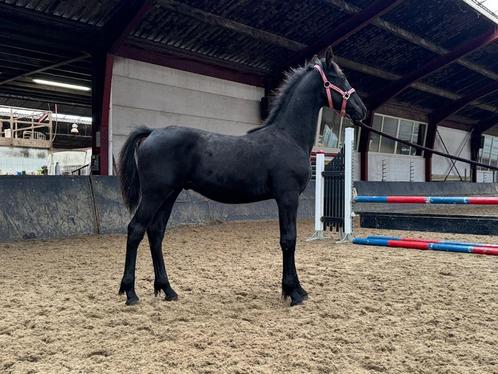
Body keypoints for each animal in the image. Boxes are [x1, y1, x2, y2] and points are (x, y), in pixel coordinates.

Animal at [116, 46, 366, 306]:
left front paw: (297, 289)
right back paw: (130, 293)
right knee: (136, 229)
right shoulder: (287, 197)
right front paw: (293, 292)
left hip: (170, 195)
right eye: (340, 78)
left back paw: (167, 289)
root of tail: (152, 132)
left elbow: (289, 239)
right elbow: (289, 239)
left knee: (156, 232)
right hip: (155, 194)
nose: (362, 109)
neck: (288, 136)